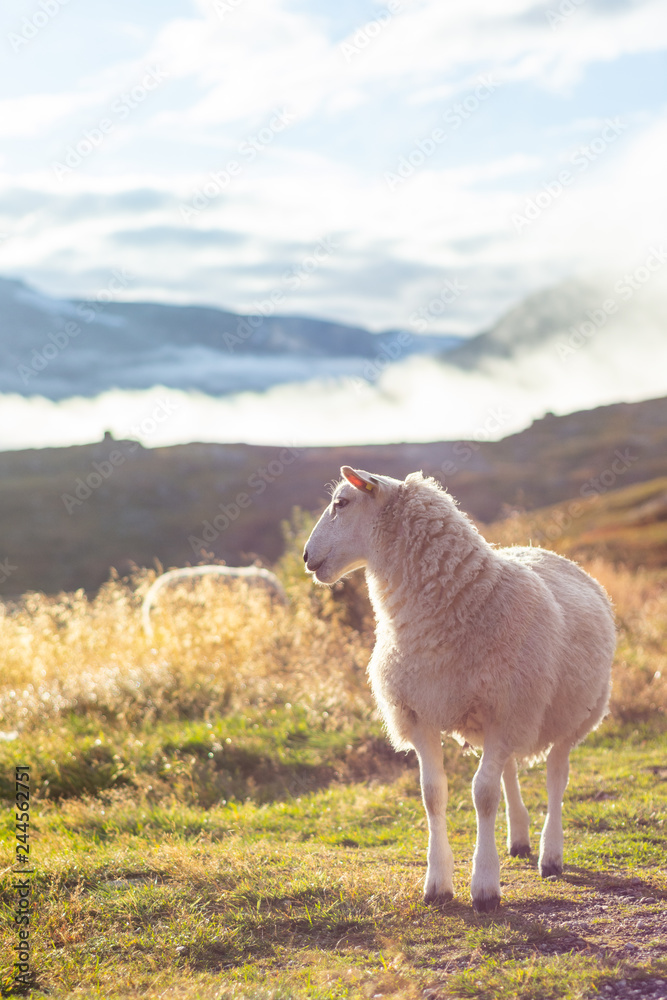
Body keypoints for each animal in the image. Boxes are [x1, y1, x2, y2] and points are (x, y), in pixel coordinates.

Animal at [303, 466, 616, 912]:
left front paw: (484, 885)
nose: (306, 557)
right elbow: (433, 794)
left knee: (556, 776)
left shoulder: (506, 710)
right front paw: (437, 883)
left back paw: (550, 854)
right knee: (510, 769)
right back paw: (518, 838)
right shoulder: (420, 713)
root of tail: (545, 552)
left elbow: (483, 794)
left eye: (341, 503)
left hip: (571, 713)